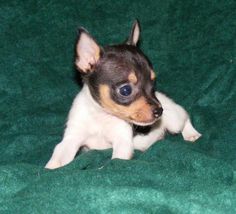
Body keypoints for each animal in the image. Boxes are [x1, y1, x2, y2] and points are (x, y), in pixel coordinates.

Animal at [45, 20, 201, 170]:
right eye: (125, 90)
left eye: (153, 84)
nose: (159, 111)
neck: (101, 116)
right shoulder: (71, 139)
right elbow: (58, 157)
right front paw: (49, 168)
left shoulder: (122, 143)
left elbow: (114, 162)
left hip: (174, 120)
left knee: (185, 116)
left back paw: (191, 134)